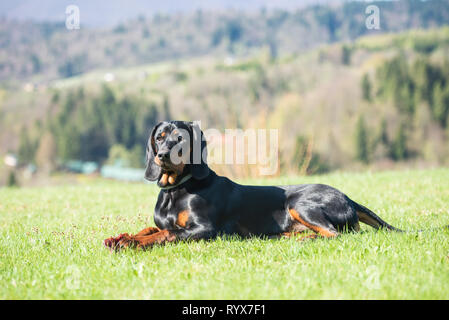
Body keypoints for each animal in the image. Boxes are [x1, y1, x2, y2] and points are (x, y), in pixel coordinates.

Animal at [103, 120, 400, 250]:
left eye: (180, 138)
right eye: (160, 137)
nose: (162, 155)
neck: (175, 190)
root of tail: (348, 198)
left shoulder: (205, 229)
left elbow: (165, 234)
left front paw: (132, 242)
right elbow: (150, 228)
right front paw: (120, 237)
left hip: (299, 202)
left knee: (335, 234)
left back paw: (305, 238)